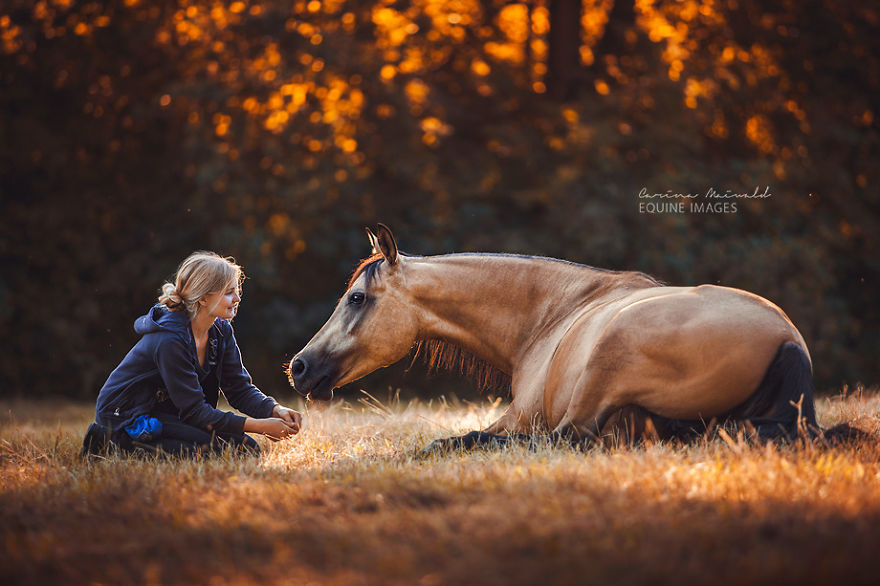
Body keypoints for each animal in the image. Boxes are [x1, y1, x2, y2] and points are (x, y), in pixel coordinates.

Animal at [287, 224, 824, 450]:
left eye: (356, 298)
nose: (299, 366)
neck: (552, 314)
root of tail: (787, 340)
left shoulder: (519, 417)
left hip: (606, 361)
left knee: (566, 439)